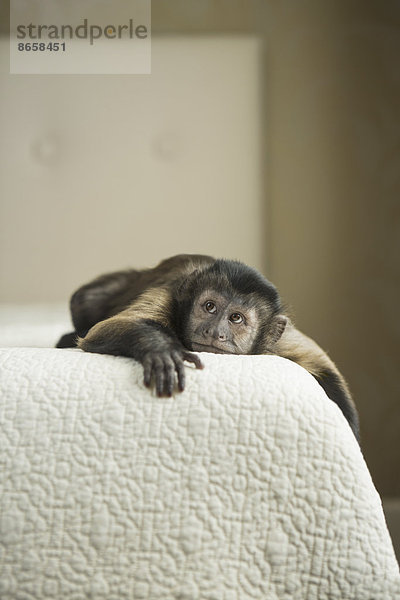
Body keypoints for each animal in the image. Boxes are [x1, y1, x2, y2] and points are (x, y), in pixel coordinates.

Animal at [57, 253, 360, 440]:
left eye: (236, 318)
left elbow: (324, 368)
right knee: (85, 299)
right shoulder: (170, 294)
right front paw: (161, 351)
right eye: (210, 307)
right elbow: (104, 330)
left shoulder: (280, 340)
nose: (215, 331)